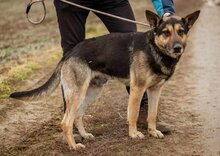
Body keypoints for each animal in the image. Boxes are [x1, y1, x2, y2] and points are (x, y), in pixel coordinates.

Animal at [9, 10, 199, 150]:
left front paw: (153, 131)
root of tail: (69, 53)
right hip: (77, 93)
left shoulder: (155, 90)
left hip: (92, 92)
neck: (154, 49)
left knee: (77, 116)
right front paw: (134, 134)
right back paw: (74, 145)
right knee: (65, 122)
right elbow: (133, 114)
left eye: (181, 32)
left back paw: (85, 135)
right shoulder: (137, 89)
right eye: (166, 33)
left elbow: (152, 114)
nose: (178, 48)